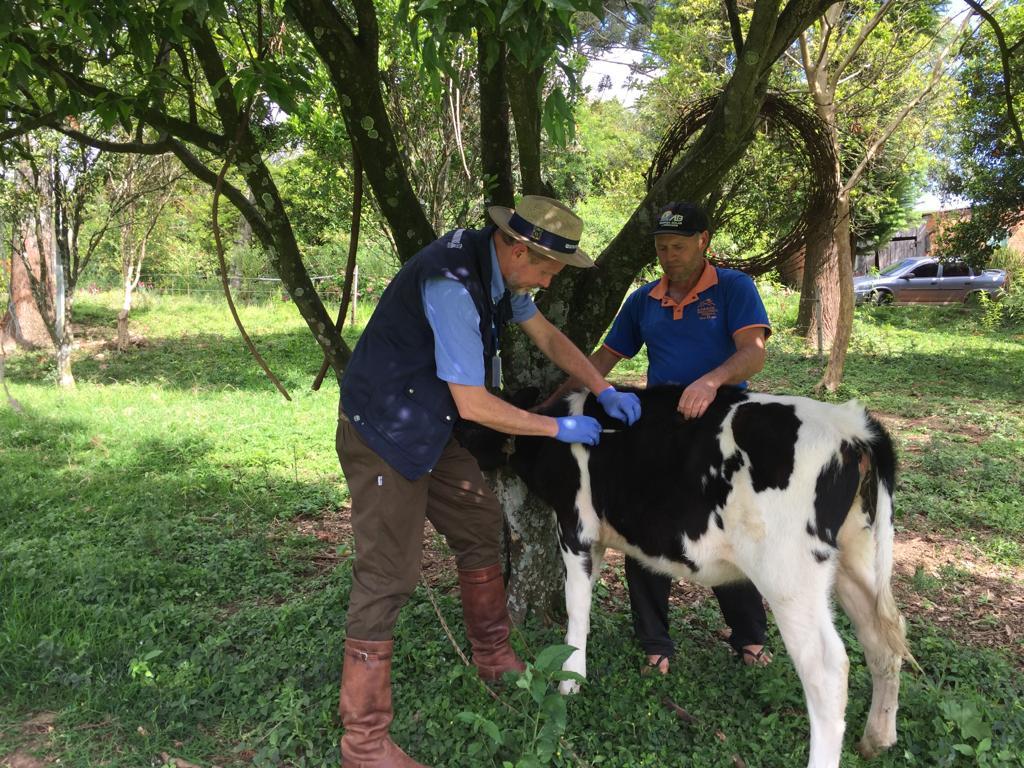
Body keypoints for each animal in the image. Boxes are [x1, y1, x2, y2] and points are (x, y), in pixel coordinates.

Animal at [460, 387, 909, 768]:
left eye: (473, 424)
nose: (453, 437)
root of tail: (851, 428)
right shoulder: (598, 537)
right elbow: (584, 599)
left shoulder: (576, 527)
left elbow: (576, 604)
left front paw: (571, 679)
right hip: (856, 559)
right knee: (884, 639)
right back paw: (877, 739)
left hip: (790, 575)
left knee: (827, 668)